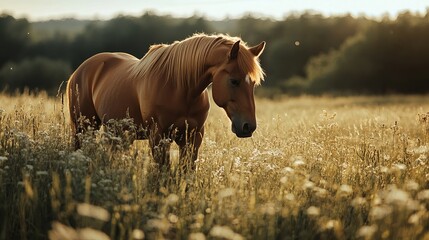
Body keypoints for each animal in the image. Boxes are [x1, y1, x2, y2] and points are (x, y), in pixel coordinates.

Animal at [66, 33, 264, 169]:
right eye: (234, 81)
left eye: (254, 83)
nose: (248, 126)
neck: (180, 88)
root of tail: (80, 70)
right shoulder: (158, 136)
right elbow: (164, 171)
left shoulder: (193, 136)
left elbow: (187, 171)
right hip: (84, 128)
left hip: (116, 132)